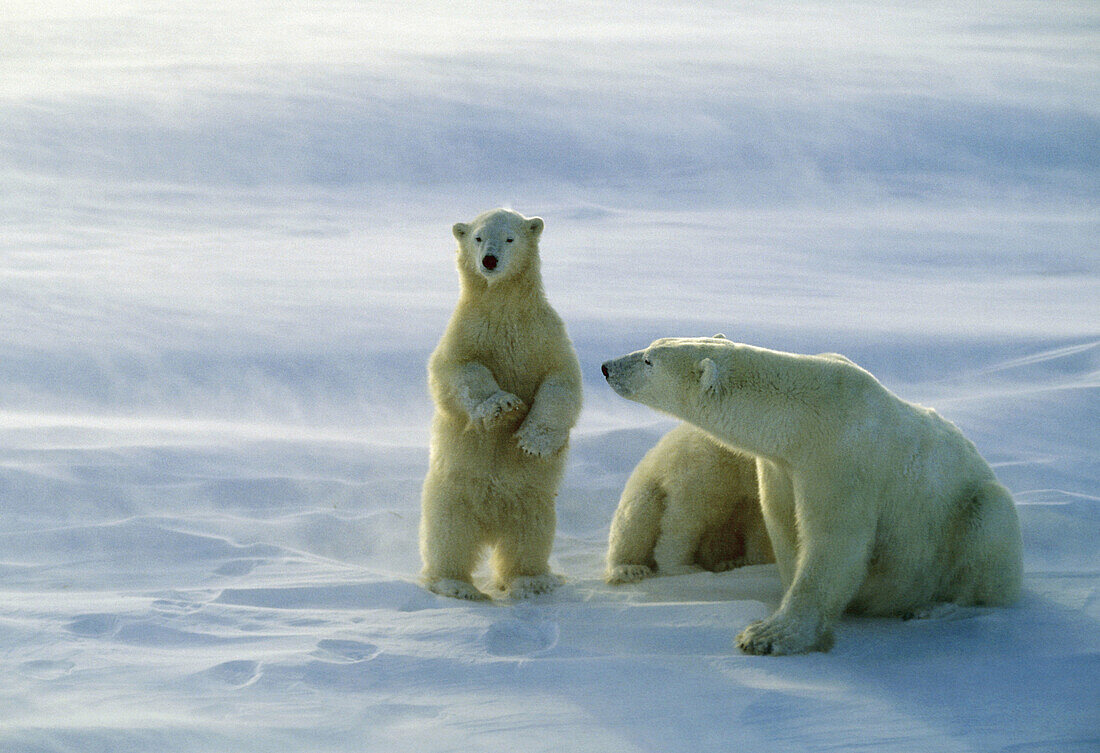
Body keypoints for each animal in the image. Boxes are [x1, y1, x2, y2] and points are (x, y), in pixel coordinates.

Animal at [418, 208, 580, 602]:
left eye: (510, 237)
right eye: (477, 237)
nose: (489, 261)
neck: (504, 308)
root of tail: (491, 524)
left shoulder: (543, 335)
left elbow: (561, 382)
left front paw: (532, 440)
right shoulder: (467, 332)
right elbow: (458, 371)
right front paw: (503, 406)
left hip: (533, 501)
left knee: (529, 537)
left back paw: (532, 581)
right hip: (451, 494)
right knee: (449, 537)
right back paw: (455, 584)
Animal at [611, 422, 774, 580]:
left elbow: (759, 526)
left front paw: (753, 561)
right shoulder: (709, 465)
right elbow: (687, 516)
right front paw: (683, 567)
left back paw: (730, 561)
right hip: (646, 484)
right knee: (637, 518)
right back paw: (629, 568)